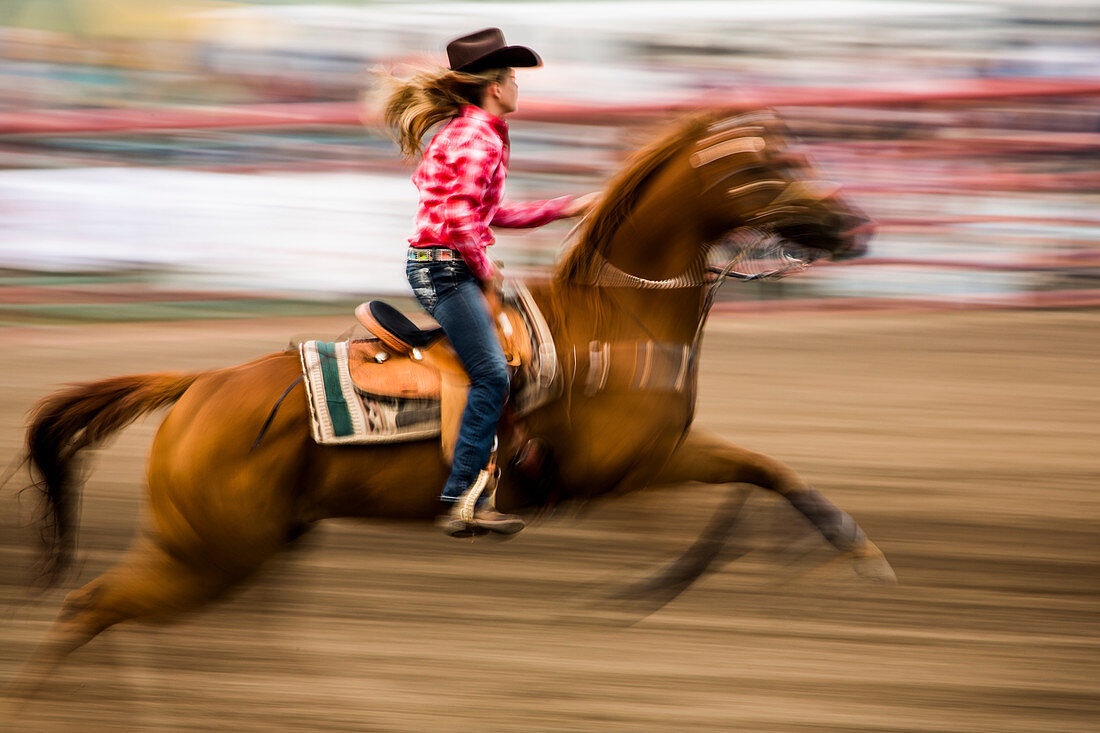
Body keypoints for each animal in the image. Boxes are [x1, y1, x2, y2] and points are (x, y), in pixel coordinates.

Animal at [12, 108, 893, 691]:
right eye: (769, 167)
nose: (854, 226)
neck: (619, 321)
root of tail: (198, 386)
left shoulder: (662, 456)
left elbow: (765, 471)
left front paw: (849, 548)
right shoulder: (624, 470)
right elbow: (737, 491)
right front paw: (655, 586)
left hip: (249, 544)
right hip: (208, 552)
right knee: (91, 604)